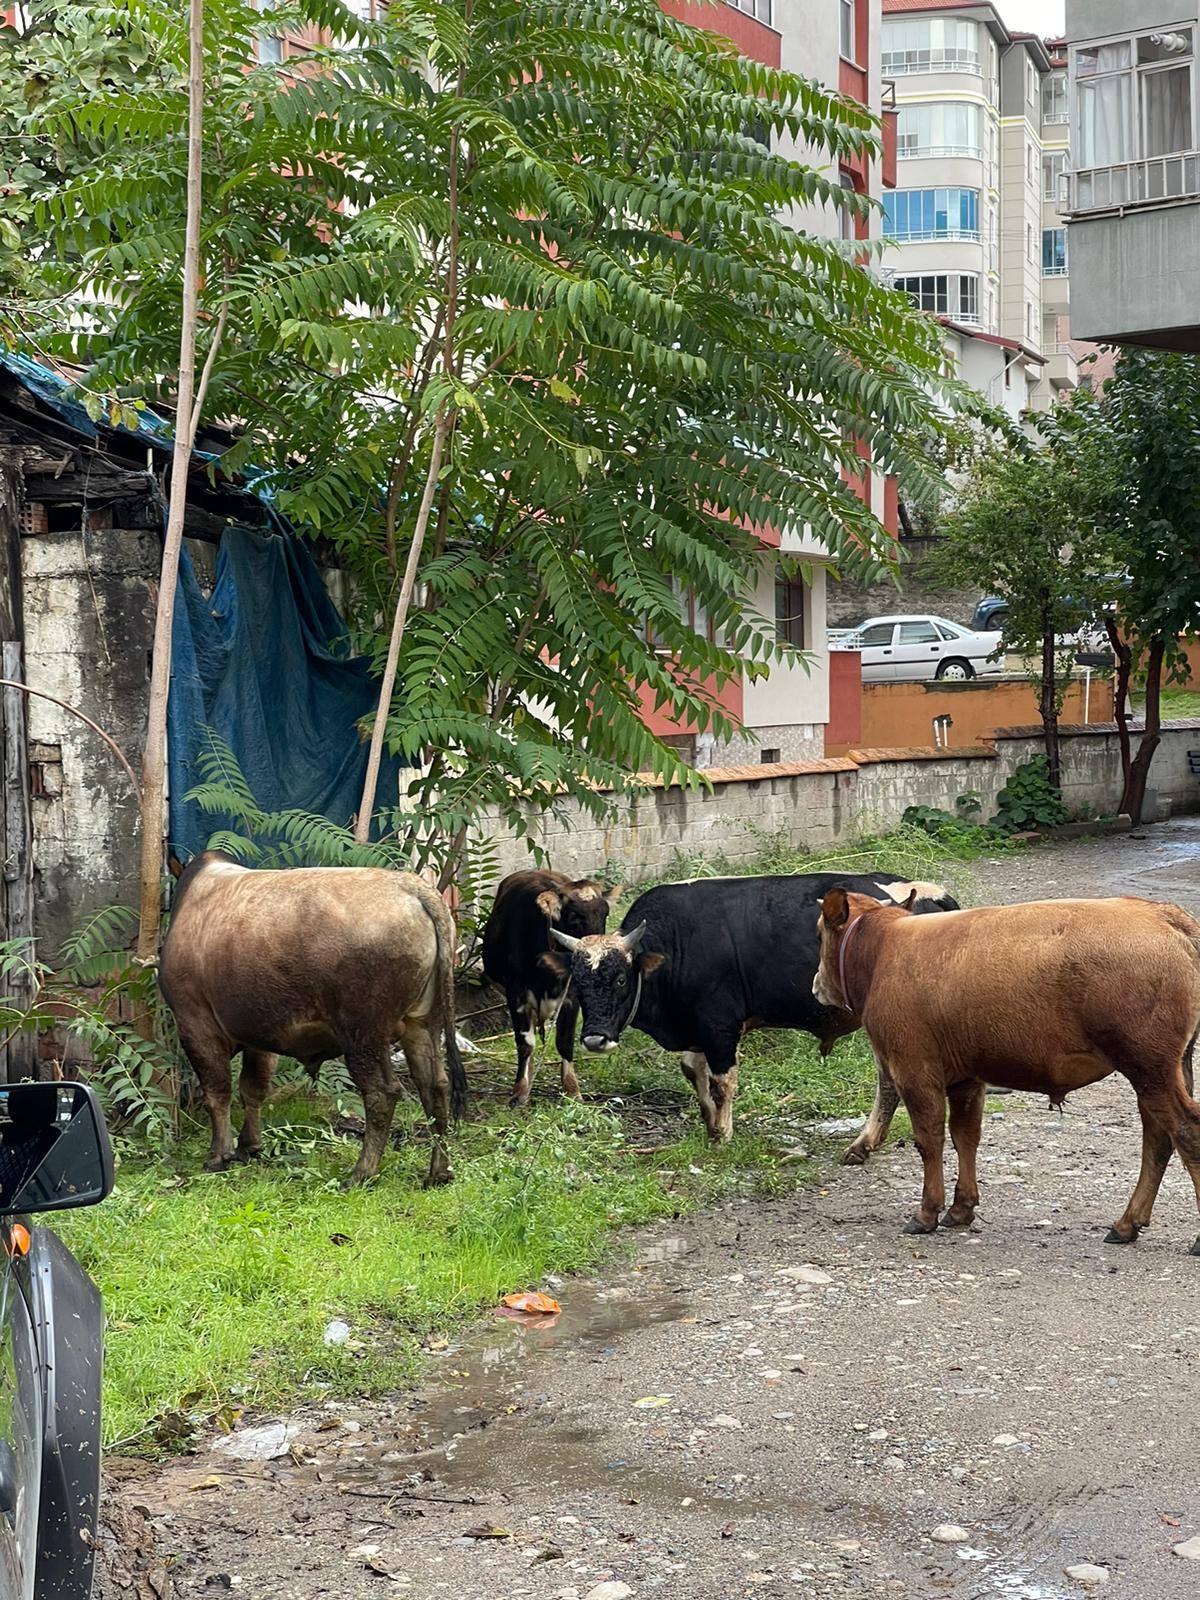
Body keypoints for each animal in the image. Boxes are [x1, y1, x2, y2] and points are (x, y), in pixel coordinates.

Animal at [160, 852, 468, 1188]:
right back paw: (438, 1172)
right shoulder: (258, 1033)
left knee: (382, 1093)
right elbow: (252, 1088)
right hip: (422, 1022)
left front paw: (219, 1155)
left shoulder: (195, 1023)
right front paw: (248, 1146)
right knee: (435, 1087)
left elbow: (218, 1093)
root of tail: (412, 887)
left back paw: (361, 1172)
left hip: (361, 1033)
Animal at [481, 870, 620, 1105]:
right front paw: (520, 1091)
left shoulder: (571, 996)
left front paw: (572, 1091)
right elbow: (525, 1043)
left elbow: (565, 1042)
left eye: (605, 915)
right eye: (574, 918)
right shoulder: (515, 994)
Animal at [546, 871, 958, 1142]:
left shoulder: (720, 1028)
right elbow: (692, 1070)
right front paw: (710, 1122)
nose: (595, 1039)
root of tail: (933, 893)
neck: (676, 944)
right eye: (579, 983)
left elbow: (722, 1082)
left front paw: (723, 1132)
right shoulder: (700, 1030)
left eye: (620, 979)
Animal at [813, 888, 1200, 1249]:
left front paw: (927, 1212)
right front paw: (961, 1208)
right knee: (1158, 1140)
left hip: (1149, 1066)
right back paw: (1126, 1223)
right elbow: (965, 1136)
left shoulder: (913, 1069)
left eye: (819, 933)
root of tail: (1162, 915)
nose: (816, 983)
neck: (883, 949)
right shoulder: (966, 1076)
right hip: (1168, 1067)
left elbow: (929, 1139)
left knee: (1186, 1132)